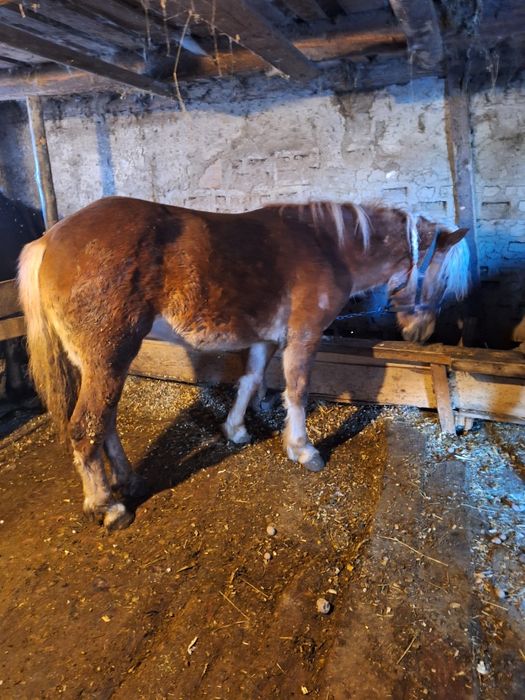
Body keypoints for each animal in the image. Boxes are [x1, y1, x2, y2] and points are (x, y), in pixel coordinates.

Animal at [18, 196, 469, 531]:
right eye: (443, 278)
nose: (422, 332)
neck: (327, 247)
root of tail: (49, 240)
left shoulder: (265, 340)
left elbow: (250, 381)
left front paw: (235, 430)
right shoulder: (304, 336)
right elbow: (297, 390)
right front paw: (303, 450)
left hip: (102, 363)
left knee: (106, 422)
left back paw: (127, 480)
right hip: (108, 357)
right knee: (86, 426)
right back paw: (106, 505)